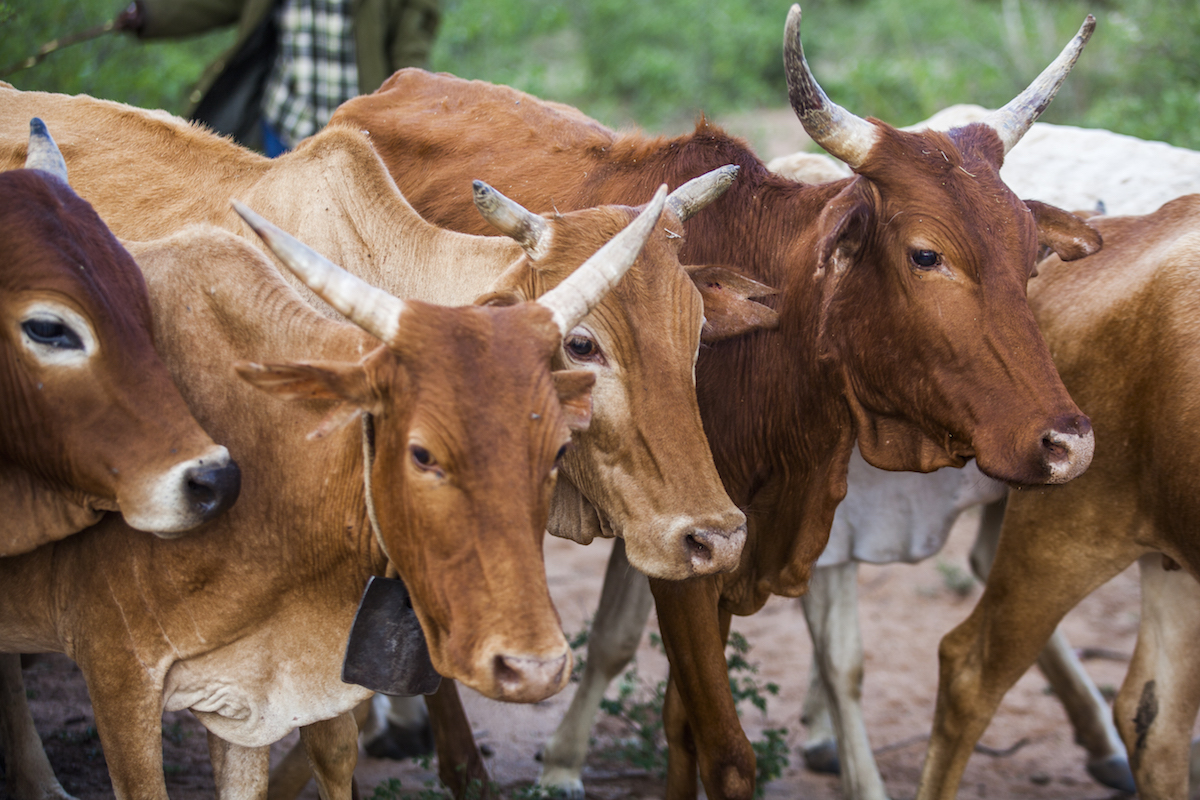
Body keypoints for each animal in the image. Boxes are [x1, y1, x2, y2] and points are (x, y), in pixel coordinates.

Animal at [324, 7, 1099, 800]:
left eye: (1030, 252)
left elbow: (681, 729)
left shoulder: (729, 555)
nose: (1068, 443)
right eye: (925, 255)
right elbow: (726, 750)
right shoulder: (684, 558)